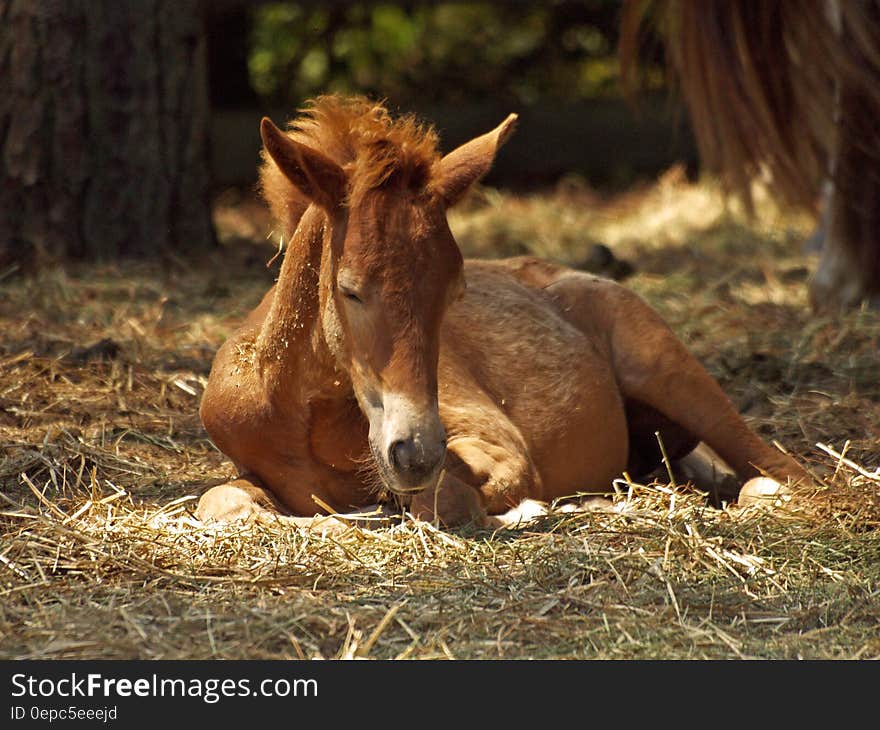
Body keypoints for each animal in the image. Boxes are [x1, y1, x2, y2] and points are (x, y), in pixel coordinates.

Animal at [196, 96, 808, 528]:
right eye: (349, 290)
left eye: (455, 291)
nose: (415, 453)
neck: (303, 416)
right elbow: (221, 502)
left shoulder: (498, 445)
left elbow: (446, 501)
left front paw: (528, 508)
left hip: (668, 370)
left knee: (783, 471)